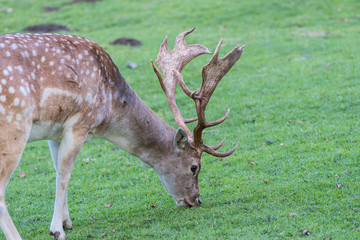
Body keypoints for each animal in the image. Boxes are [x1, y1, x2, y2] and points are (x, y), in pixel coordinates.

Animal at [0, 27, 243, 238]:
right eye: (194, 167)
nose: (196, 200)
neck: (110, 106)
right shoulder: (80, 122)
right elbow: (66, 174)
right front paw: (57, 231)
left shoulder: (55, 131)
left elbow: (58, 170)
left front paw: (66, 222)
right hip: (14, 125)